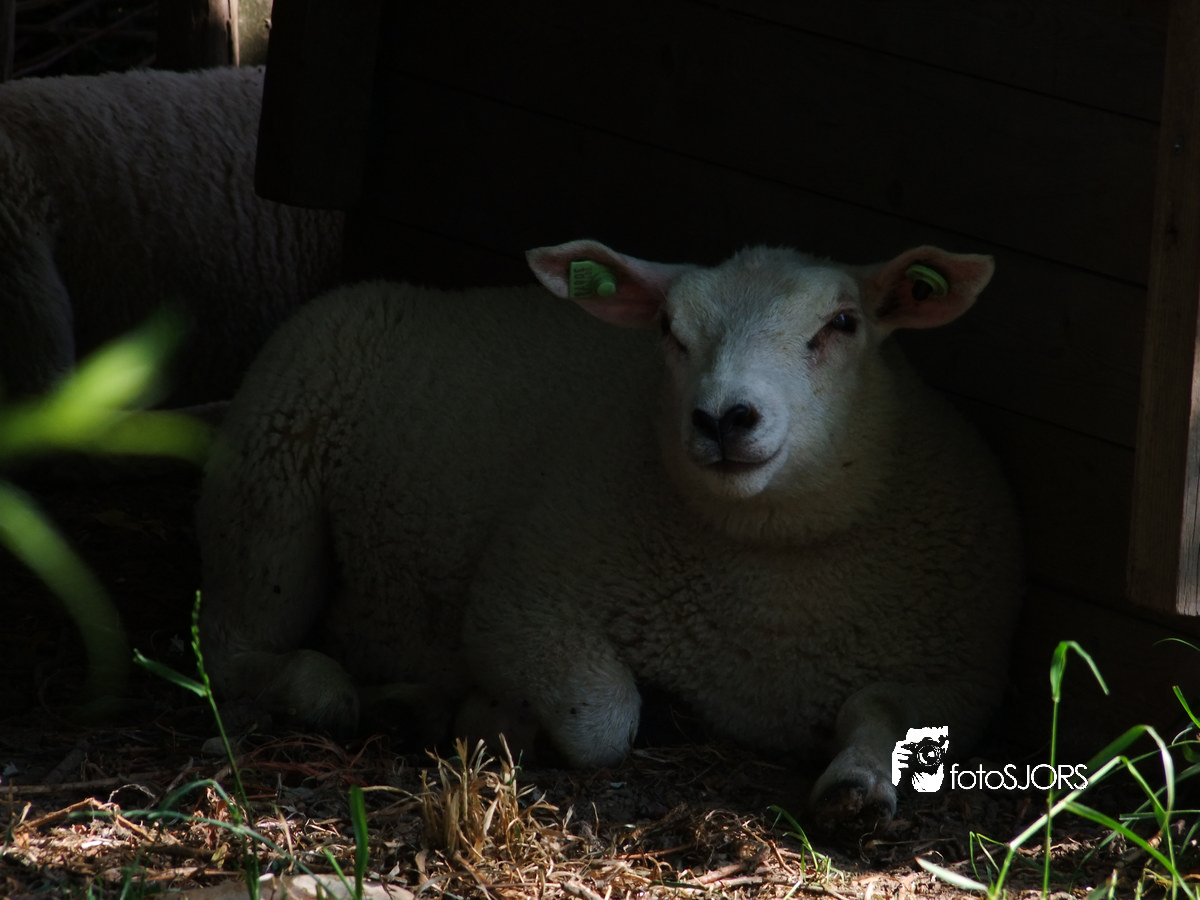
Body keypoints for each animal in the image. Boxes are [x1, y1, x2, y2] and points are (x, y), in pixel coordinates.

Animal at [197, 239, 1023, 830]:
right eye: (668, 331)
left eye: (844, 324)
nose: (722, 418)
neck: (773, 555)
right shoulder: (524, 600)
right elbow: (602, 718)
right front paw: (501, 720)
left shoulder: (961, 674)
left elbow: (879, 712)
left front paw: (857, 786)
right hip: (271, 485)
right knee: (228, 650)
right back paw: (326, 691)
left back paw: (402, 704)